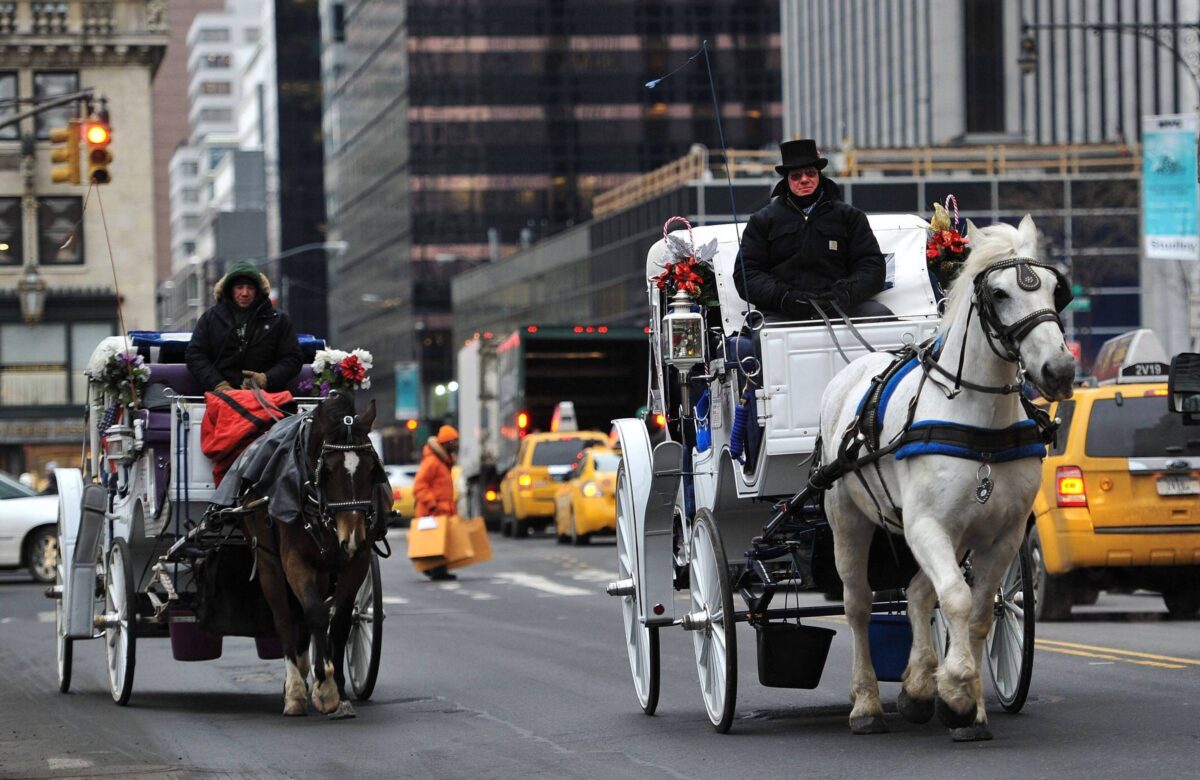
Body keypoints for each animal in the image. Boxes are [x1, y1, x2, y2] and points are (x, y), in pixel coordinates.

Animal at [241, 391, 376, 715]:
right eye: (327, 470)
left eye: (372, 468)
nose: (352, 538)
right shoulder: (293, 560)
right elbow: (315, 613)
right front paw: (323, 689)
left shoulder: (356, 563)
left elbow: (339, 621)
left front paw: (337, 686)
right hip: (268, 562)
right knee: (284, 617)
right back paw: (295, 689)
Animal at [820, 216, 1075, 739]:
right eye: (998, 293)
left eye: (1054, 289)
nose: (1059, 369)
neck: (980, 423)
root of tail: (853, 368)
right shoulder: (926, 526)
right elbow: (956, 599)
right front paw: (956, 690)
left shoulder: (1003, 535)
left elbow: (979, 611)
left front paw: (965, 706)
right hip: (848, 519)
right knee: (858, 604)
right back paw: (866, 704)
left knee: (919, 593)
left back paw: (917, 687)